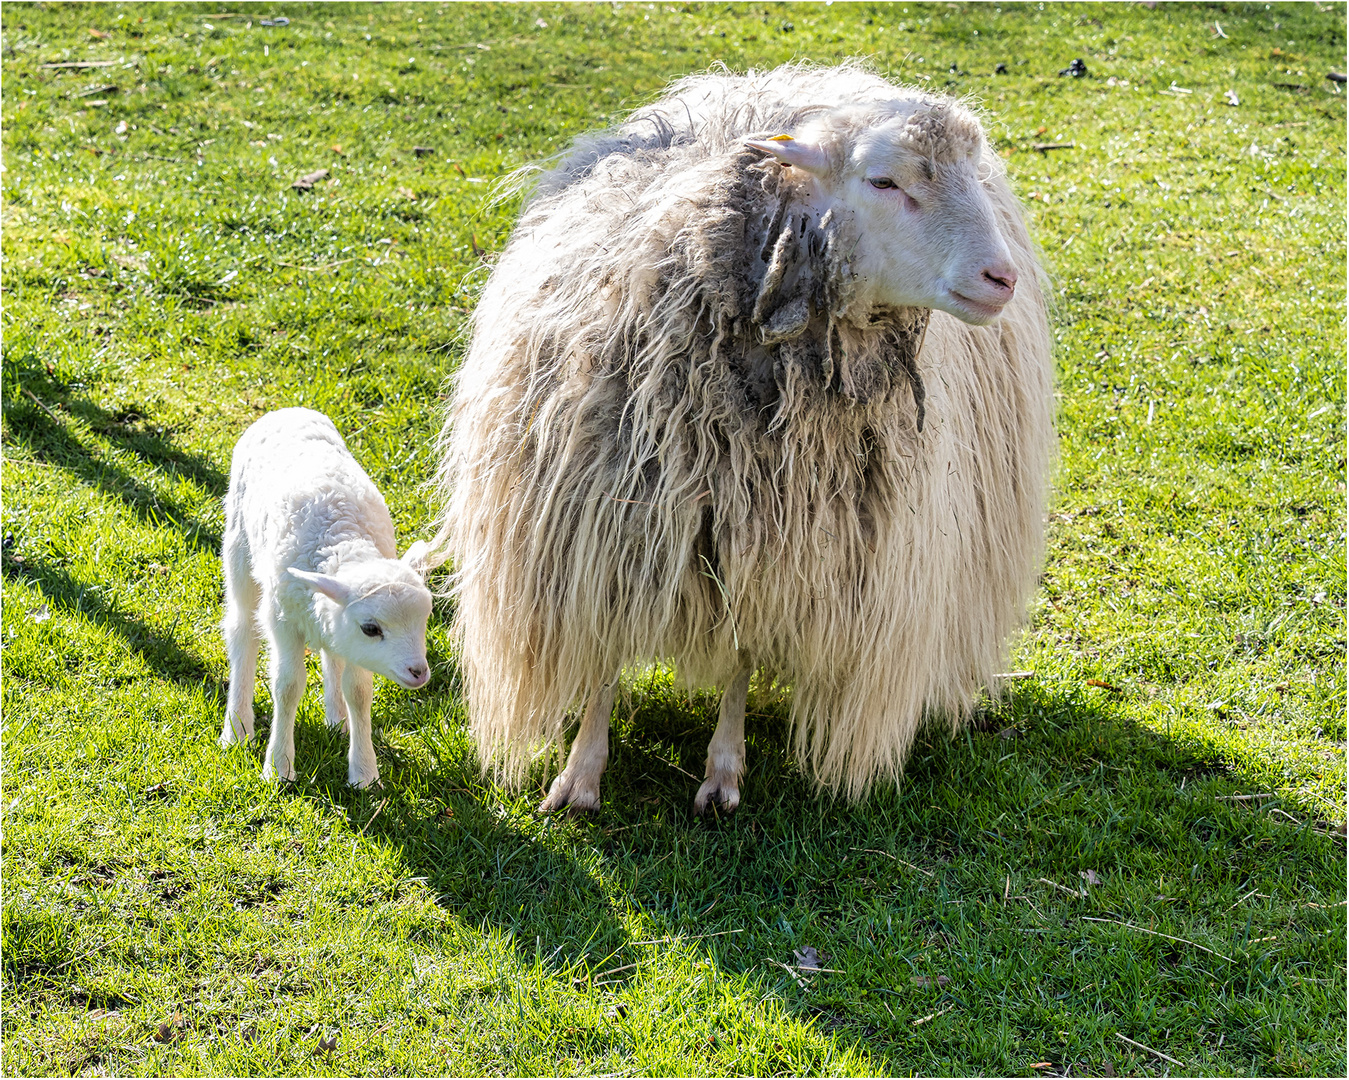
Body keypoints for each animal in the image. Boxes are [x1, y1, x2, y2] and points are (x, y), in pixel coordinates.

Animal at [219, 404, 431, 782]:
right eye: (372, 628)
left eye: (425, 619)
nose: (418, 672)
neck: (342, 539)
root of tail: (287, 409)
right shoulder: (283, 620)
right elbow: (287, 686)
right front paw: (279, 767)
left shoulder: (350, 637)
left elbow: (359, 691)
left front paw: (364, 772)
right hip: (239, 546)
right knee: (242, 630)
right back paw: (238, 727)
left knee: (333, 652)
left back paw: (338, 720)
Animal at [431, 63, 1052, 814]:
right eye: (884, 181)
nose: (1001, 279)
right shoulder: (603, 526)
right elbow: (604, 655)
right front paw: (580, 774)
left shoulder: (779, 537)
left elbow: (740, 656)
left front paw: (723, 770)